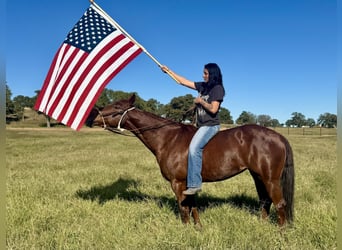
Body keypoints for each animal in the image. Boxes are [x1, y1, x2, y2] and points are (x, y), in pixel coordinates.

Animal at [85, 94, 294, 227]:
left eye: (117, 108)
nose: (92, 116)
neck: (168, 138)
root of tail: (278, 136)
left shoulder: (177, 183)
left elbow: (183, 208)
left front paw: (185, 230)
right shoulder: (189, 183)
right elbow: (193, 206)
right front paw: (198, 227)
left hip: (270, 179)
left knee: (280, 203)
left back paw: (281, 233)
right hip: (258, 177)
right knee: (265, 202)